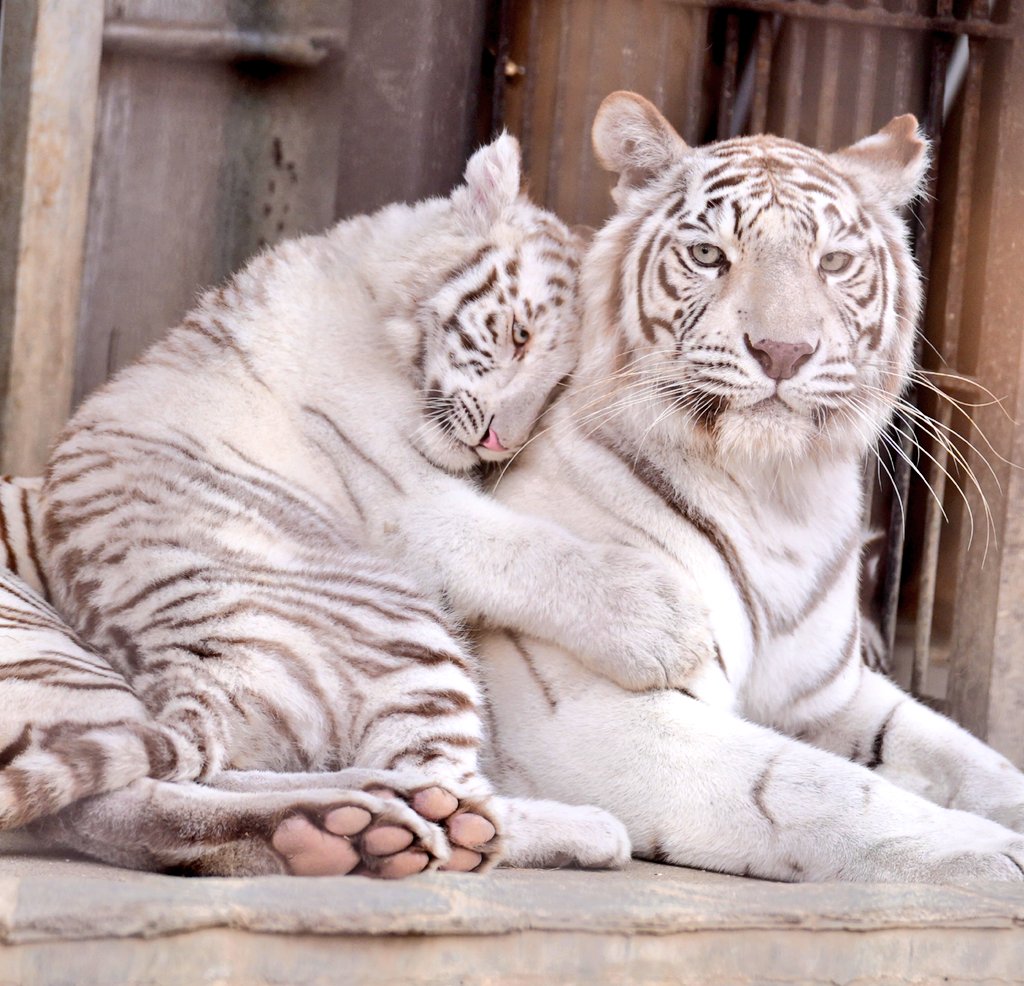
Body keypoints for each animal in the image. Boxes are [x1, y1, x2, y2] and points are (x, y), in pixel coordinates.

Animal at [0, 133, 671, 880]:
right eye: (520, 336)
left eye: (558, 386)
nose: (501, 440)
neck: (377, 289)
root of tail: (197, 675)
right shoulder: (406, 498)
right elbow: (522, 546)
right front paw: (662, 623)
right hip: (413, 631)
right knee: (451, 799)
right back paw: (562, 828)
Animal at [473, 90, 1024, 880]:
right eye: (709, 255)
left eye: (833, 262)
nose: (783, 350)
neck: (779, 503)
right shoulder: (581, 708)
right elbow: (808, 784)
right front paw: (989, 852)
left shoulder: (833, 696)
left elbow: (974, 758)